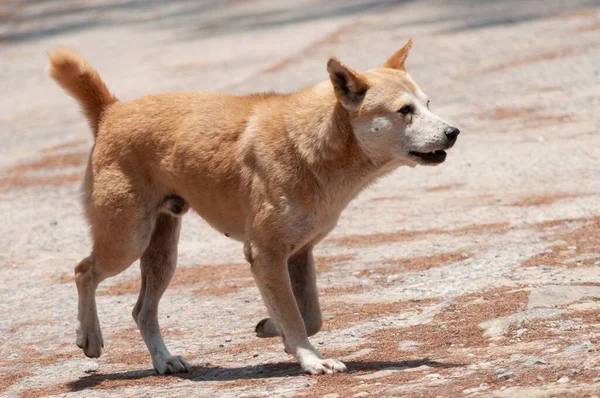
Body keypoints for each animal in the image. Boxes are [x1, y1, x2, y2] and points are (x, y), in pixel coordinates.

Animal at [48, 41, 460, 376]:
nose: (453, 132)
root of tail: (110, 110)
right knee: (83, 271)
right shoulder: (265, 253)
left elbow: (308, 315)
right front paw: (311, 359)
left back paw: (164, 360)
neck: (315, 143)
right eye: (404, 110)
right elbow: (295, 314)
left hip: (162, 252)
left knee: (141, 311)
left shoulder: (299, 253)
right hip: (127, 239)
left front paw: (272, 330)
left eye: (427, 104)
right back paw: (90, 336)